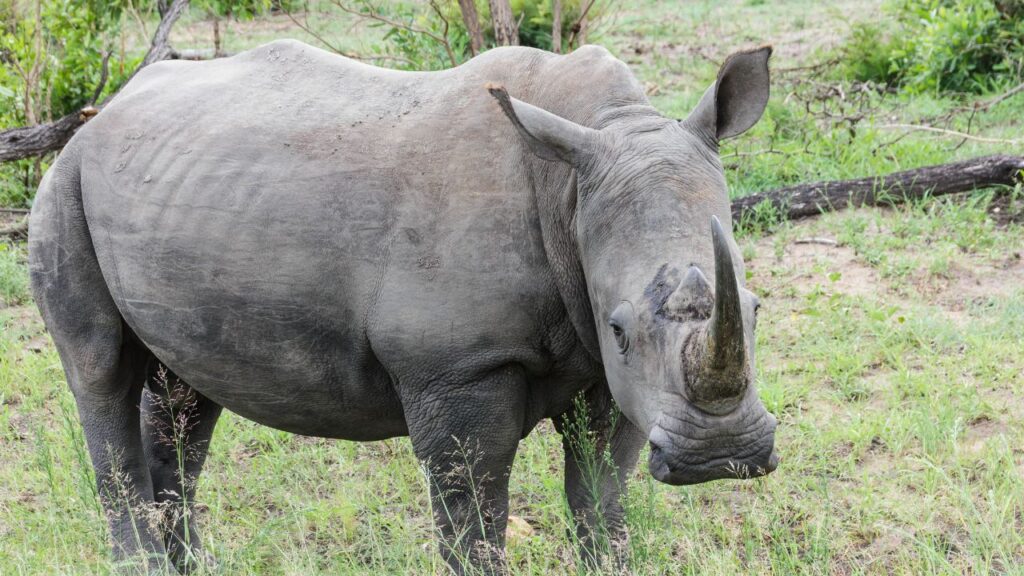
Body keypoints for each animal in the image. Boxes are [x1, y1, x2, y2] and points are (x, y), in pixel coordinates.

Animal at [29, 39, 778, 574]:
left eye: (756, 309)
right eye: (621, 327)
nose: (724, 456)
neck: (575, 177)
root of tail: (112, 107)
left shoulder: (607, 371)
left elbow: (600, 494)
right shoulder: (458, 366)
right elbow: (472, 512)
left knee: (184, 397)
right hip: (64, 182)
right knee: (99, 372)